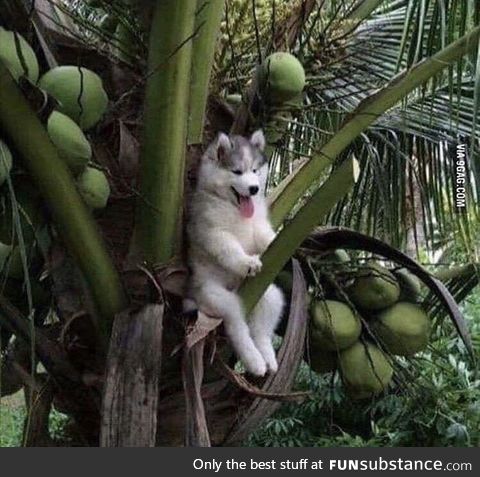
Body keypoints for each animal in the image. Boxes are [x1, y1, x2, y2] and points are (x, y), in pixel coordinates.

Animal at [187, 130, 284, 376]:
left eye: (255, 170)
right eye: (237, 171)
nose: (254, 189)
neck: (233, 207)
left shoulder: (257, 226)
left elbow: (265, 237)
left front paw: (275, 241)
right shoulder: (213, 231)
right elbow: (229, 248)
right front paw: (246, 262)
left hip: (269, 295)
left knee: (261, 329)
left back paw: (268, 357)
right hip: (215, 296)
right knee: (237, 325)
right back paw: (254, 361)